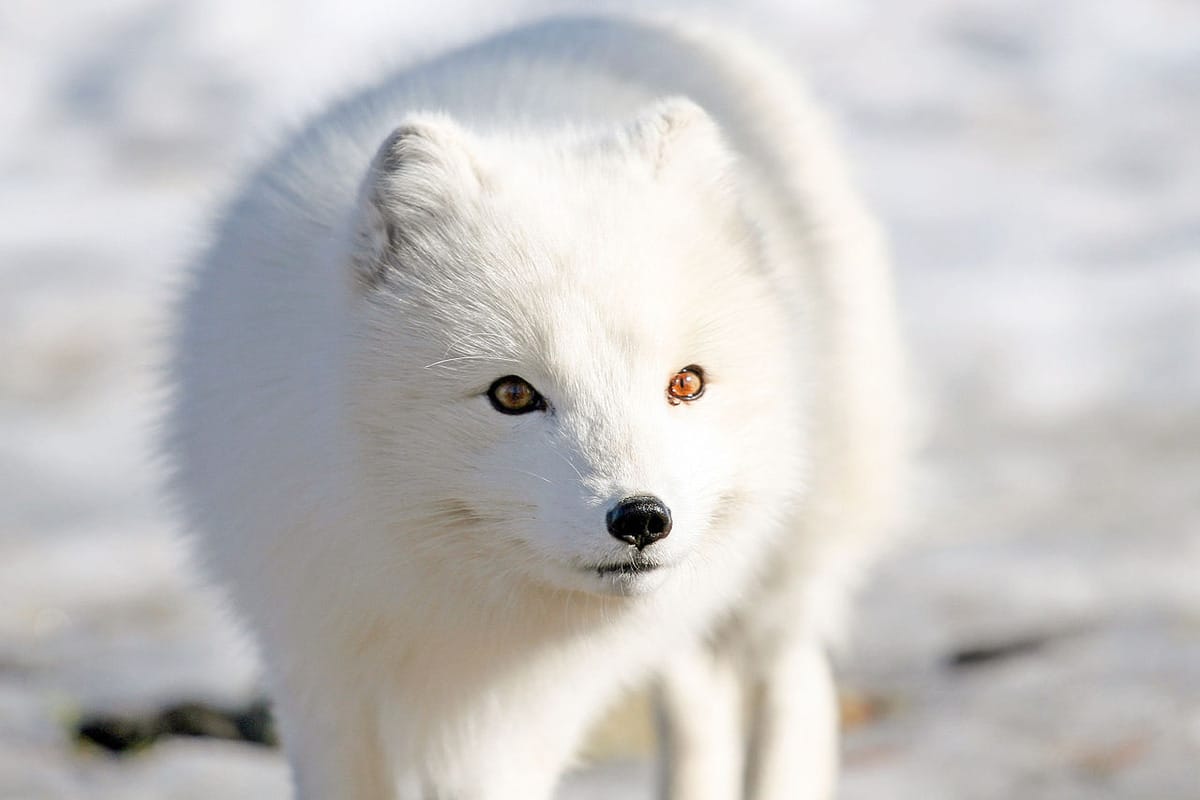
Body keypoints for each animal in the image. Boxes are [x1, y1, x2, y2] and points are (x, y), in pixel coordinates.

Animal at [167, 13, 906, 800]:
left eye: (685, 383)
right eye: (513, 394)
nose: (642, 518)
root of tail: (651, 21)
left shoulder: (519, 721)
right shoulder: (321, 672)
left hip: (787, 562)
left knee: (792, 681)